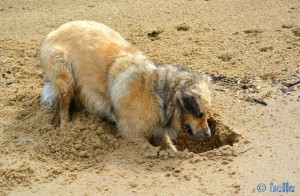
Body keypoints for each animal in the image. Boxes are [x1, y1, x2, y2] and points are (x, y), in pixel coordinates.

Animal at [39, 20, 212, 152]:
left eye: (206, 114)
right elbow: (149, 147)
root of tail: (55, 31)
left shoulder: (157, 129)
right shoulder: (133, 135)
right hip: (64, 79)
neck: (156, 94)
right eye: (200, 114)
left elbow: (168, 144)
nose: (209, 134)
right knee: (63, 109)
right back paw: (65, 130)